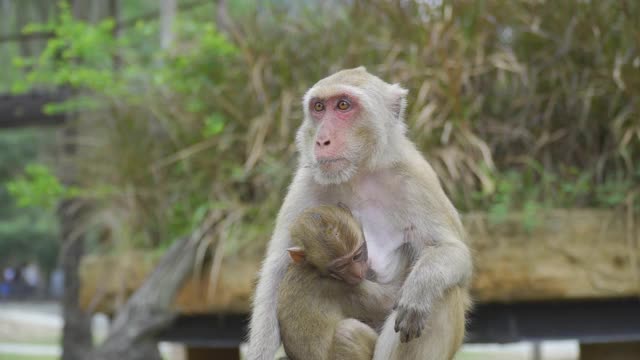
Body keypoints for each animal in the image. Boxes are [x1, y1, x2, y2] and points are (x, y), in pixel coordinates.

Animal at [278, 204, 398, 360]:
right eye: (340, 266)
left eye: (357, 255)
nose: (357, 273)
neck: (311, 268)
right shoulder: (340, 288)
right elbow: (390, 300)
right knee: (347, 332)